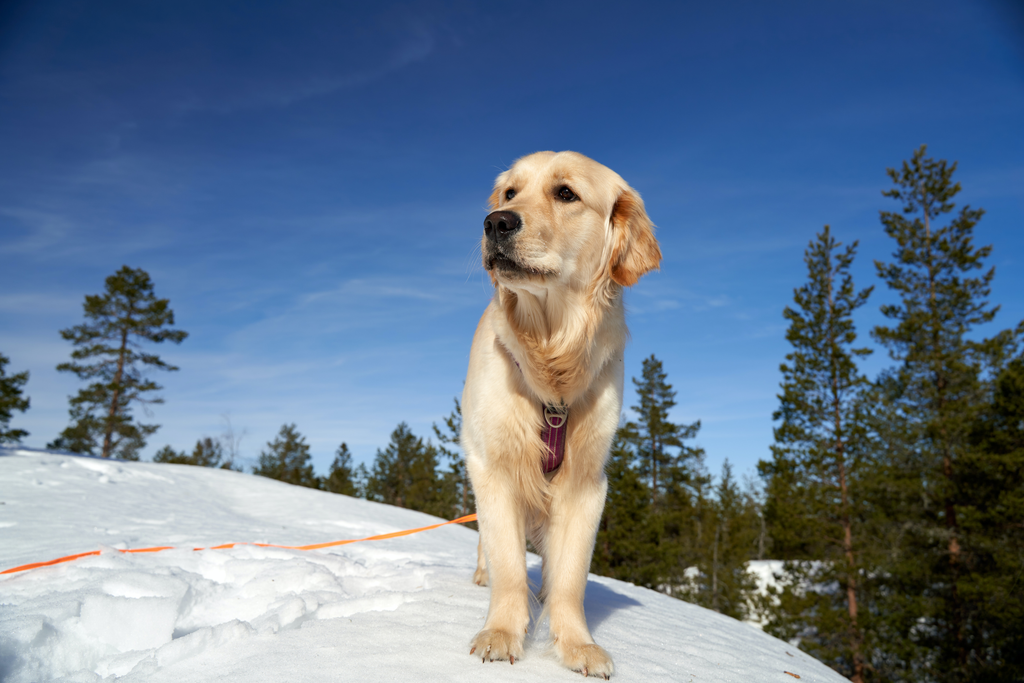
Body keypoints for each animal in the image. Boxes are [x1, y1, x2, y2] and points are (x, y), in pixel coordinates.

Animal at [460, 150, 659, 679]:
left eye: (566, 193)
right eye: (510, 192)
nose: (495, 222)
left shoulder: (587, 482)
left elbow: (571, 576)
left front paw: (576, 644)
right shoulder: (496, 467)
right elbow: (509, 563)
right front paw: (501, 634)